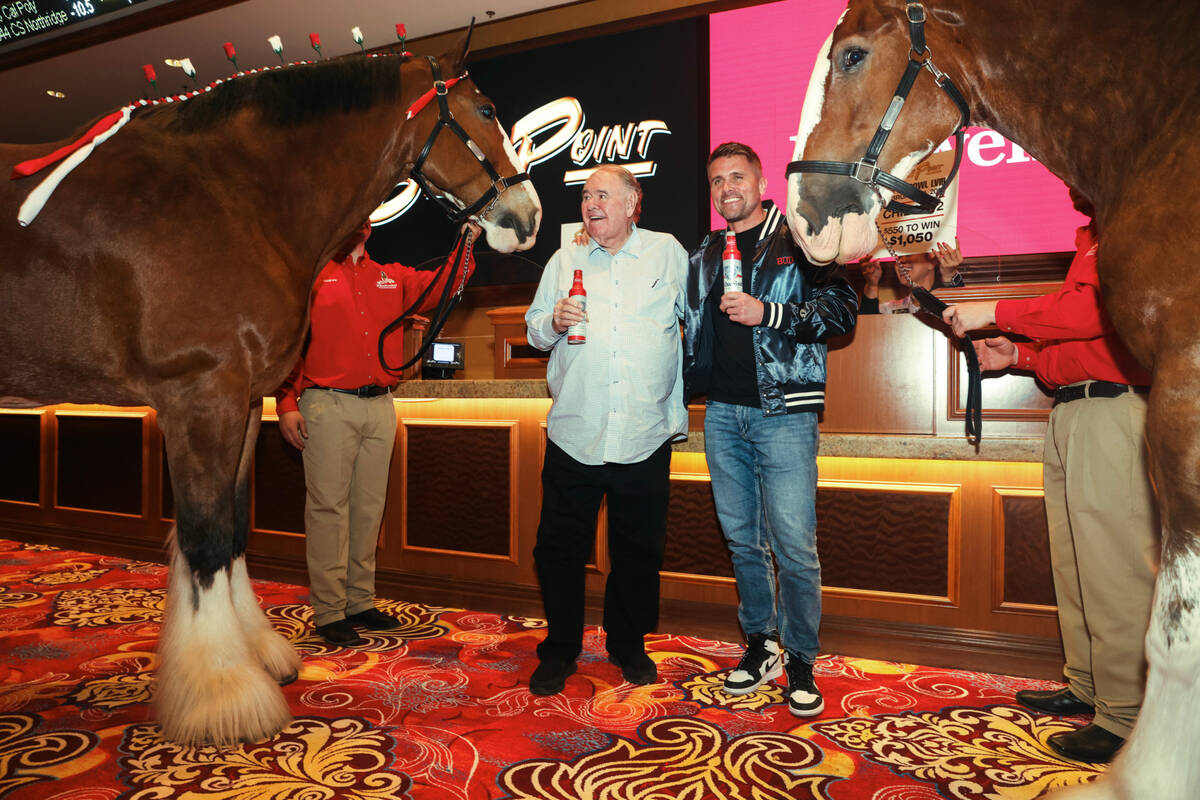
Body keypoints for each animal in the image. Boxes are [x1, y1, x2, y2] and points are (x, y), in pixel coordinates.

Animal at [0, 32, 540, 743]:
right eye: (486, 110)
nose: (528, 218)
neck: (235, 199)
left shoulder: (242, 404)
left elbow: (232, 531)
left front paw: (256, 653)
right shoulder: (201, 397)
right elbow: (203, 539)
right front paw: (222, 694)